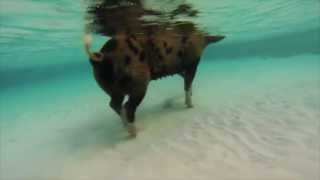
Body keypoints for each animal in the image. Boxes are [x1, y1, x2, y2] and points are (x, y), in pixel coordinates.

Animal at [84, 31, 225, 136]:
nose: (222, 36)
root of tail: (102, 56)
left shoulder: (181, 69)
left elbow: (186, 81)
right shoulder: (193, 63)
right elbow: (188, 83)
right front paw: (190, 106)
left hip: (113, 88)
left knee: (114, 104)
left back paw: (125, 126)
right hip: (139, 83)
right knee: (128, 106)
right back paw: (135, 132)